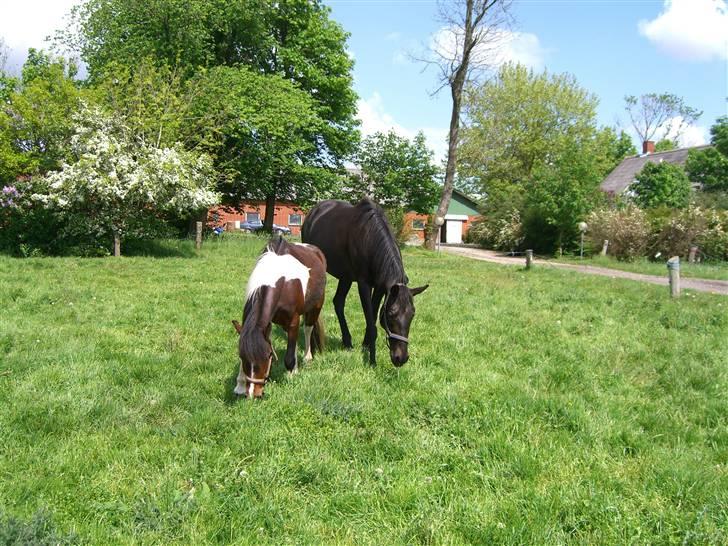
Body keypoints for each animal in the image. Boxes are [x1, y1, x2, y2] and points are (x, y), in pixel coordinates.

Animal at [232, 236, 326, 398]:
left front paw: (291, 375)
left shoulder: (294, 320)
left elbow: (289, 354)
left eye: (268, 355)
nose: (254, 393)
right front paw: (240, 385)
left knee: (307, 330)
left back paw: (307, 358)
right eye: (242, 357)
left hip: (316, 306)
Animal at [300, 197, 426, 366]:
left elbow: (372, 317)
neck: (370, 237)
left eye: (412, 314)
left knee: (338, 302)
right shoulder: (364, 284)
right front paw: (372, 359)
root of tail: (313, 213)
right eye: (391, 314)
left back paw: (347, 341)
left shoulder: (380, 287)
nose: (401, 358)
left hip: (345, 276)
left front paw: (365, 346)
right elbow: (371, 321)